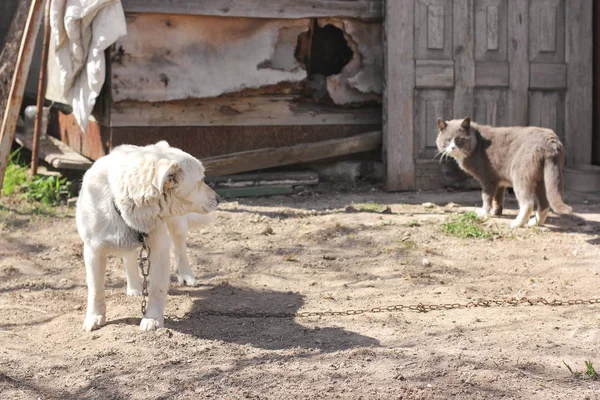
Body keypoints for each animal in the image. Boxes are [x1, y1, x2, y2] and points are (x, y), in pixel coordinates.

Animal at [76, 141, 219, 332]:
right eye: (201, 181)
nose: (218, 199)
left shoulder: (159, 249)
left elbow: (157, 288)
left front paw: (152, 318)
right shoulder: (93, 250)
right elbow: (95, 288)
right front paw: (95, 316)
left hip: (178, 225)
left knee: (180, 249)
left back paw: (186, 275)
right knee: (129, 257)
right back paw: (135, 288)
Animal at [436, 117, 572, 227]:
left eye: (459, 140)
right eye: (447, 140)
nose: (452, 147)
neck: (478, 142)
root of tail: (551, 143)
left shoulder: (488, 178)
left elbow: (486, 197)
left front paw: (483, 212)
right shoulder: (498, 179)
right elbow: (498, 197)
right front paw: (495, 212)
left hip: (521, 174)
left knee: (527, 203)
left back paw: (517, 223)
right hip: (544, 179)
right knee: (545, 203)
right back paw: (534, 223)